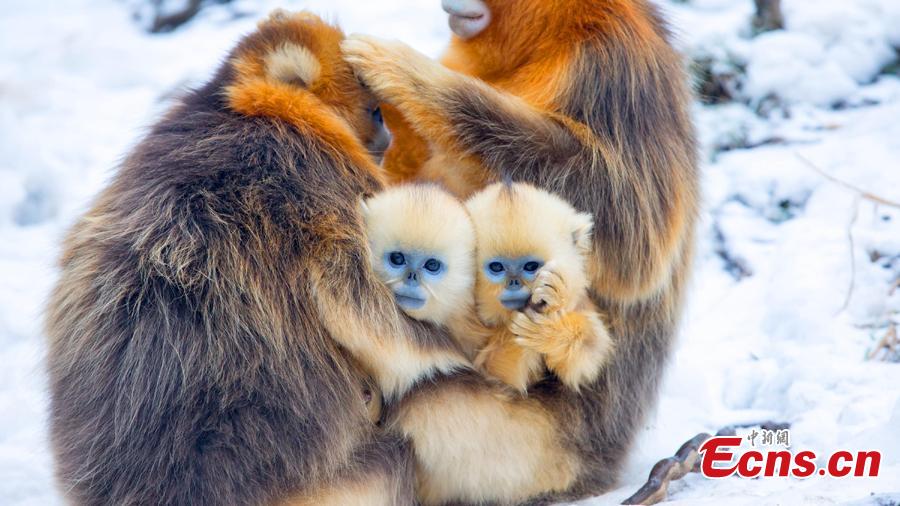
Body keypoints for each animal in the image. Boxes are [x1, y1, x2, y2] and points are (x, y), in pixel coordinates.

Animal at [342, 1, 700, 504]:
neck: (557, 37)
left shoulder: (615, 69)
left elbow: (634, 244)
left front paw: (406, 73)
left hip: (553, 449)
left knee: (430, 402)